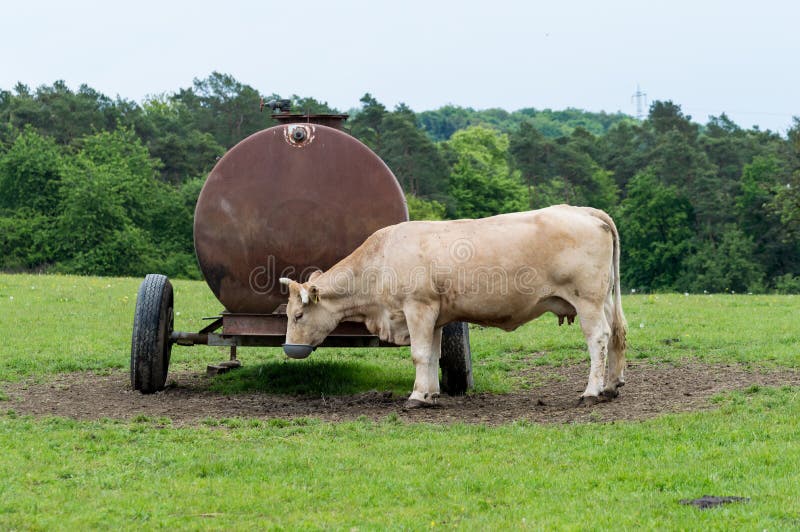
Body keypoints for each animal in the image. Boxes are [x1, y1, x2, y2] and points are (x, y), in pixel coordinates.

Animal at [280, 204, 627, 408]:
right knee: (616, 334)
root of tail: (585, 211)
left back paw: (592, 391)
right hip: (604, 299)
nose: (289, 348)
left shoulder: (417, 307)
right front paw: (431, 394)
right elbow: (432, 355)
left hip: (587, 300)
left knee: (598, 339)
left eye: (298, 314)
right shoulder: (434, 315)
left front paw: (416, 396)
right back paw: (611, 386)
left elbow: (419, 355)